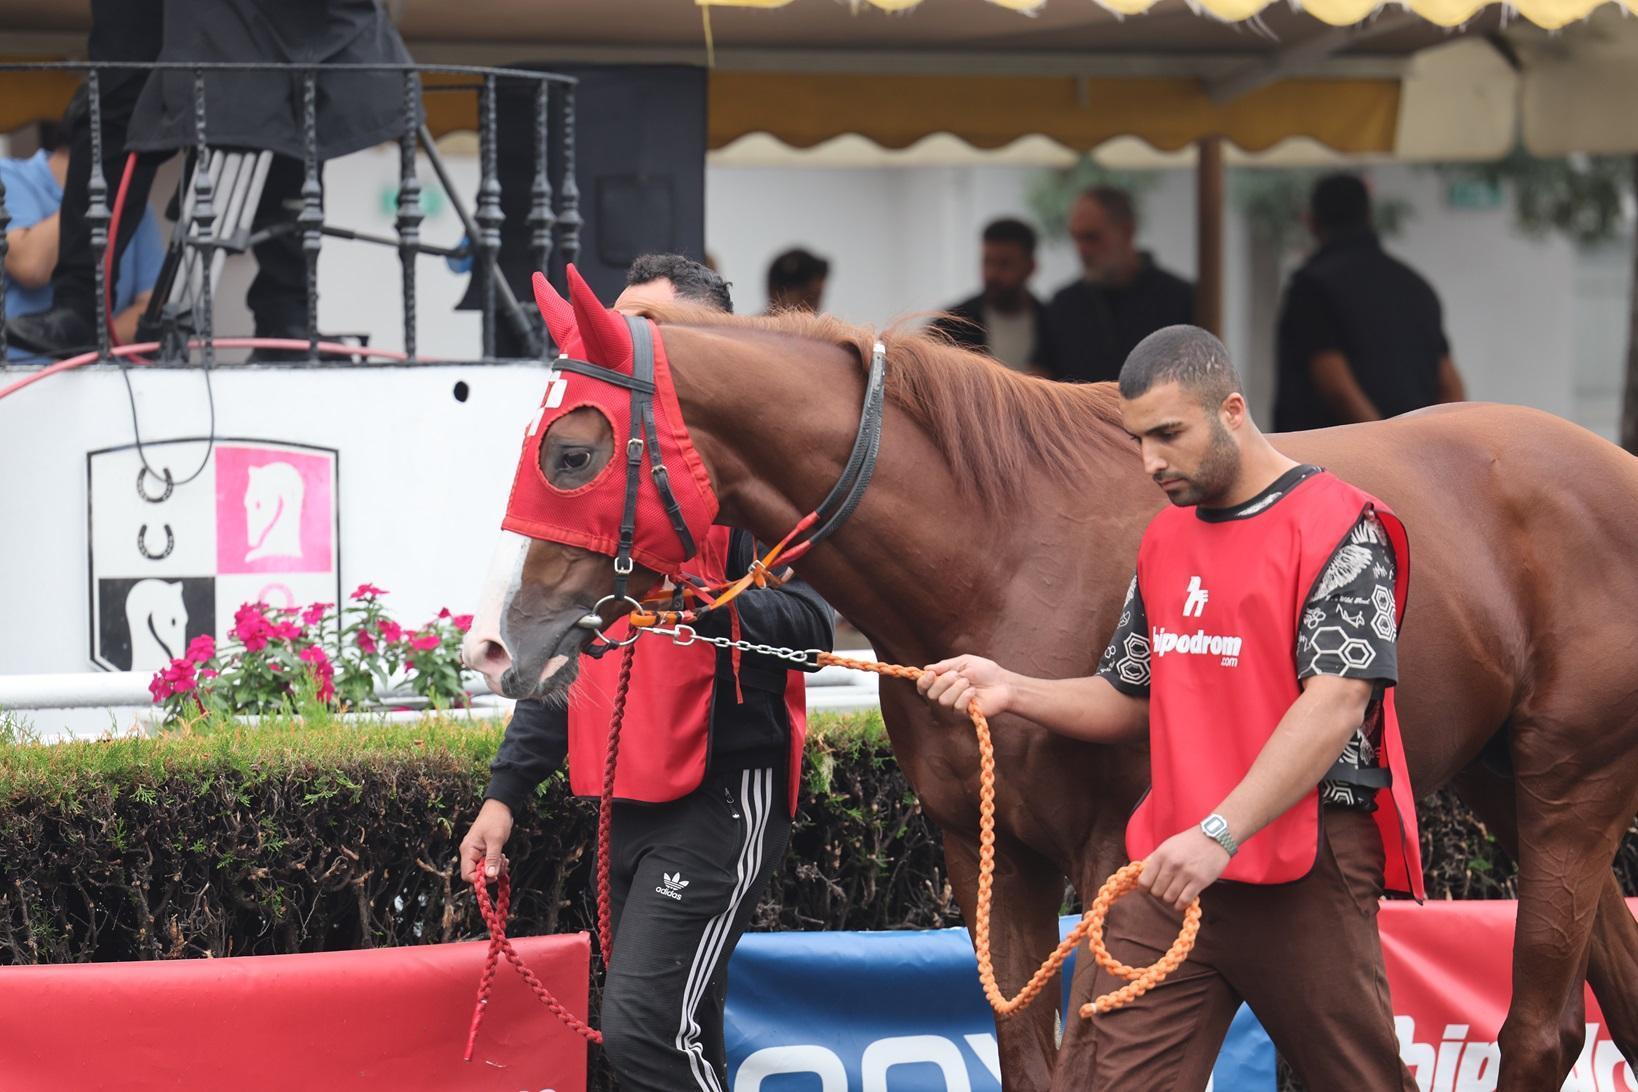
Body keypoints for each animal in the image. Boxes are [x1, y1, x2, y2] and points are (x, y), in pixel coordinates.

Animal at [461, 284, 1638, 1092]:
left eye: (570, 452)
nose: (497, 648)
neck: (998, 543)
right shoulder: (987, 847)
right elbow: (1028, 1057)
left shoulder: (1118, 852)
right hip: (1505, 780)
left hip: (1573, 780)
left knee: (1542, 1028)